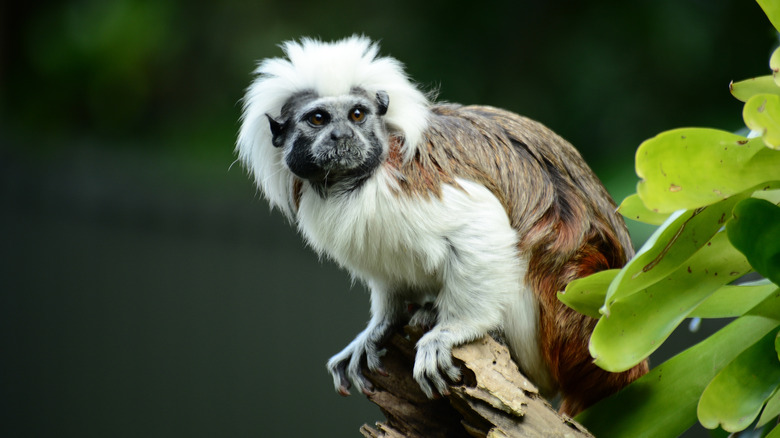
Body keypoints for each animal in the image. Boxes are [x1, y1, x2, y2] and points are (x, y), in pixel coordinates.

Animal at [236, 36, 644, 416]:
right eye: (318, 119)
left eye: (356, 115)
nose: (342, 136)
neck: (355, 181)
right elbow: (389, 278)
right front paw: (380, 326)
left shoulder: (417, 181)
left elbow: (482, 223)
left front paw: (453, 331)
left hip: (564, 318)